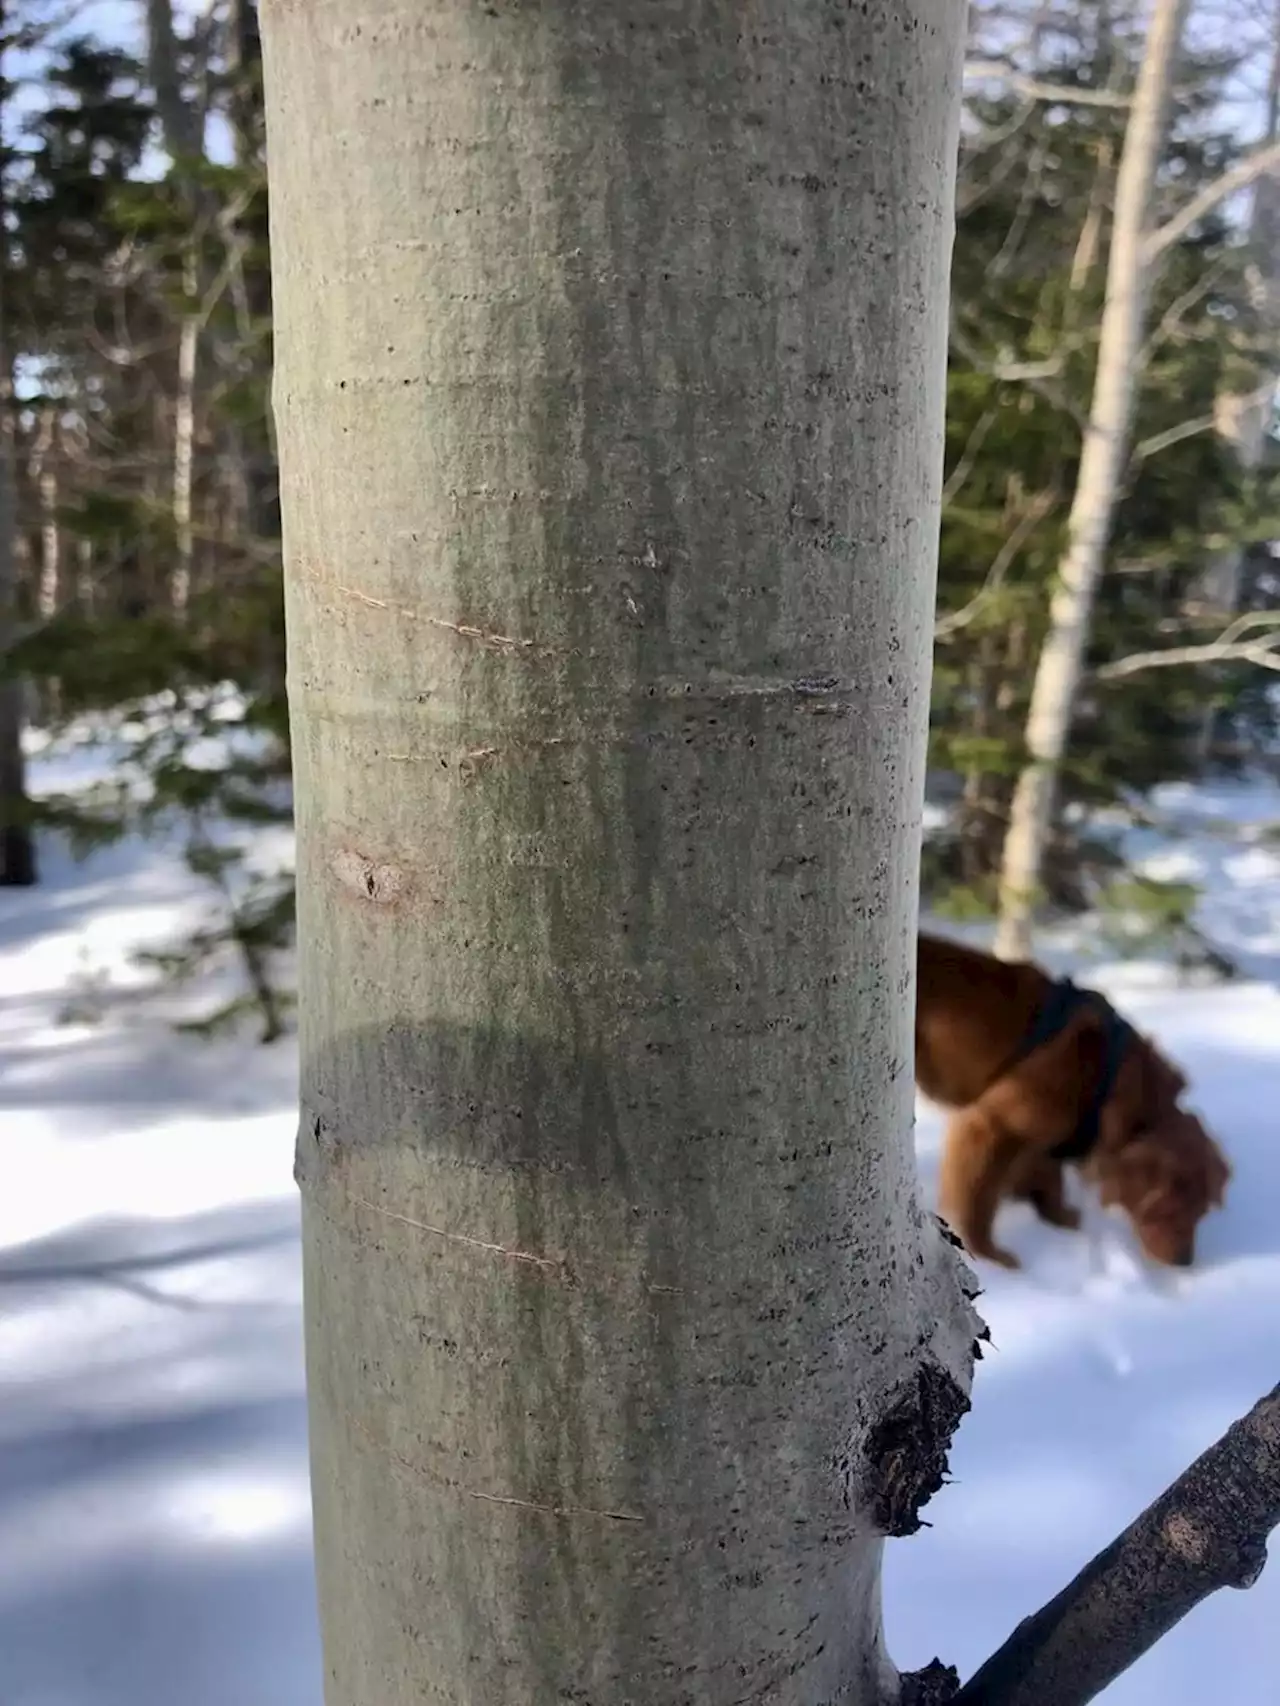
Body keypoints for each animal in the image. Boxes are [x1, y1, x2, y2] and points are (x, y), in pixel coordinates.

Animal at [914, 934, 1228, 1269]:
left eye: (1202, 1212)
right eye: (1168, 1209)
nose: (1185, 1262)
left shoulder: (1041, 1133)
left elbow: (1046, 1178)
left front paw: (1058, 1217)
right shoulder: (991, 1125)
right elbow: (976, 1202)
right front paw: (990, 1256)